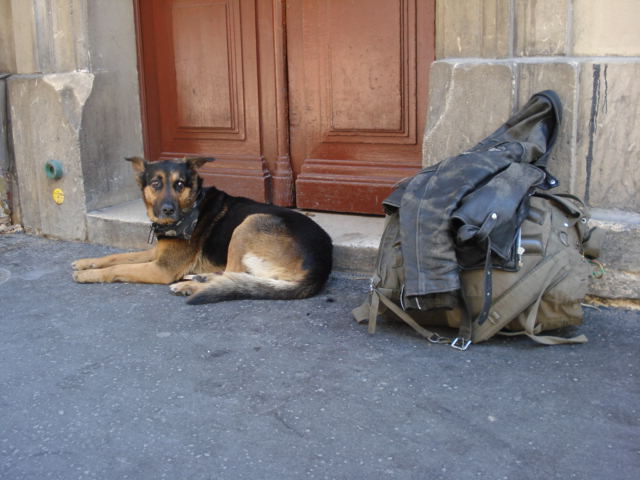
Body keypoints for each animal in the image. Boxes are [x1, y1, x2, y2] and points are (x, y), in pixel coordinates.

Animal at [74, 157, 336, 304]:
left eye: (179, 184)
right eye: (156, 184)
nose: (167, 210)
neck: (193, 206)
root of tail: (321, 267)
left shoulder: (161, 269)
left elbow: (118, 268)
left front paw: (89, 275)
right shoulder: (156, 254)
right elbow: (117, 257)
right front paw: (85, 263)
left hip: (249, 223)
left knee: (231, 273)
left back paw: (189, 286)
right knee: (234, 277)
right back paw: (198, 279)